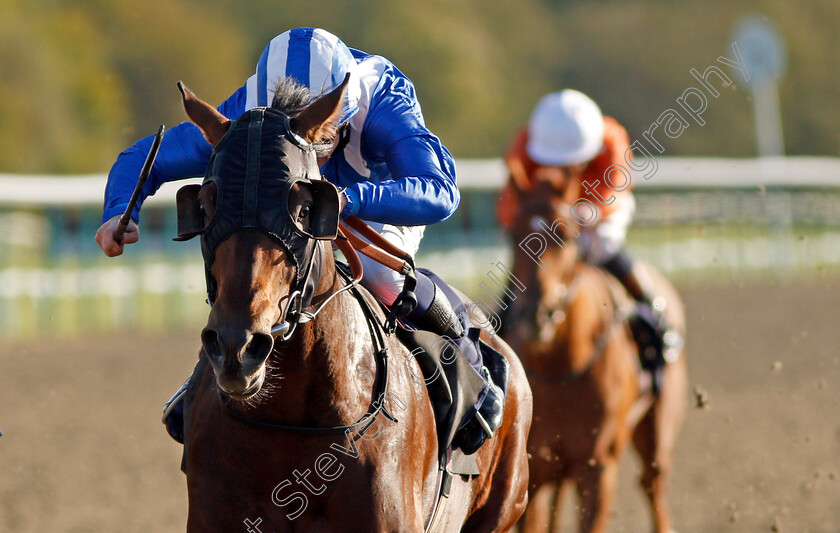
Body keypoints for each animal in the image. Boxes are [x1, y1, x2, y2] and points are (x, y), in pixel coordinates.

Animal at [506, 179, 688, 532]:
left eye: (564, 234)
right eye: (511, 234)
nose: (535, 315)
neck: (559, 368)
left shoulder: (597, 466)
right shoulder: (532, 467)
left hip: (658, 426)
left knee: (653, 483)